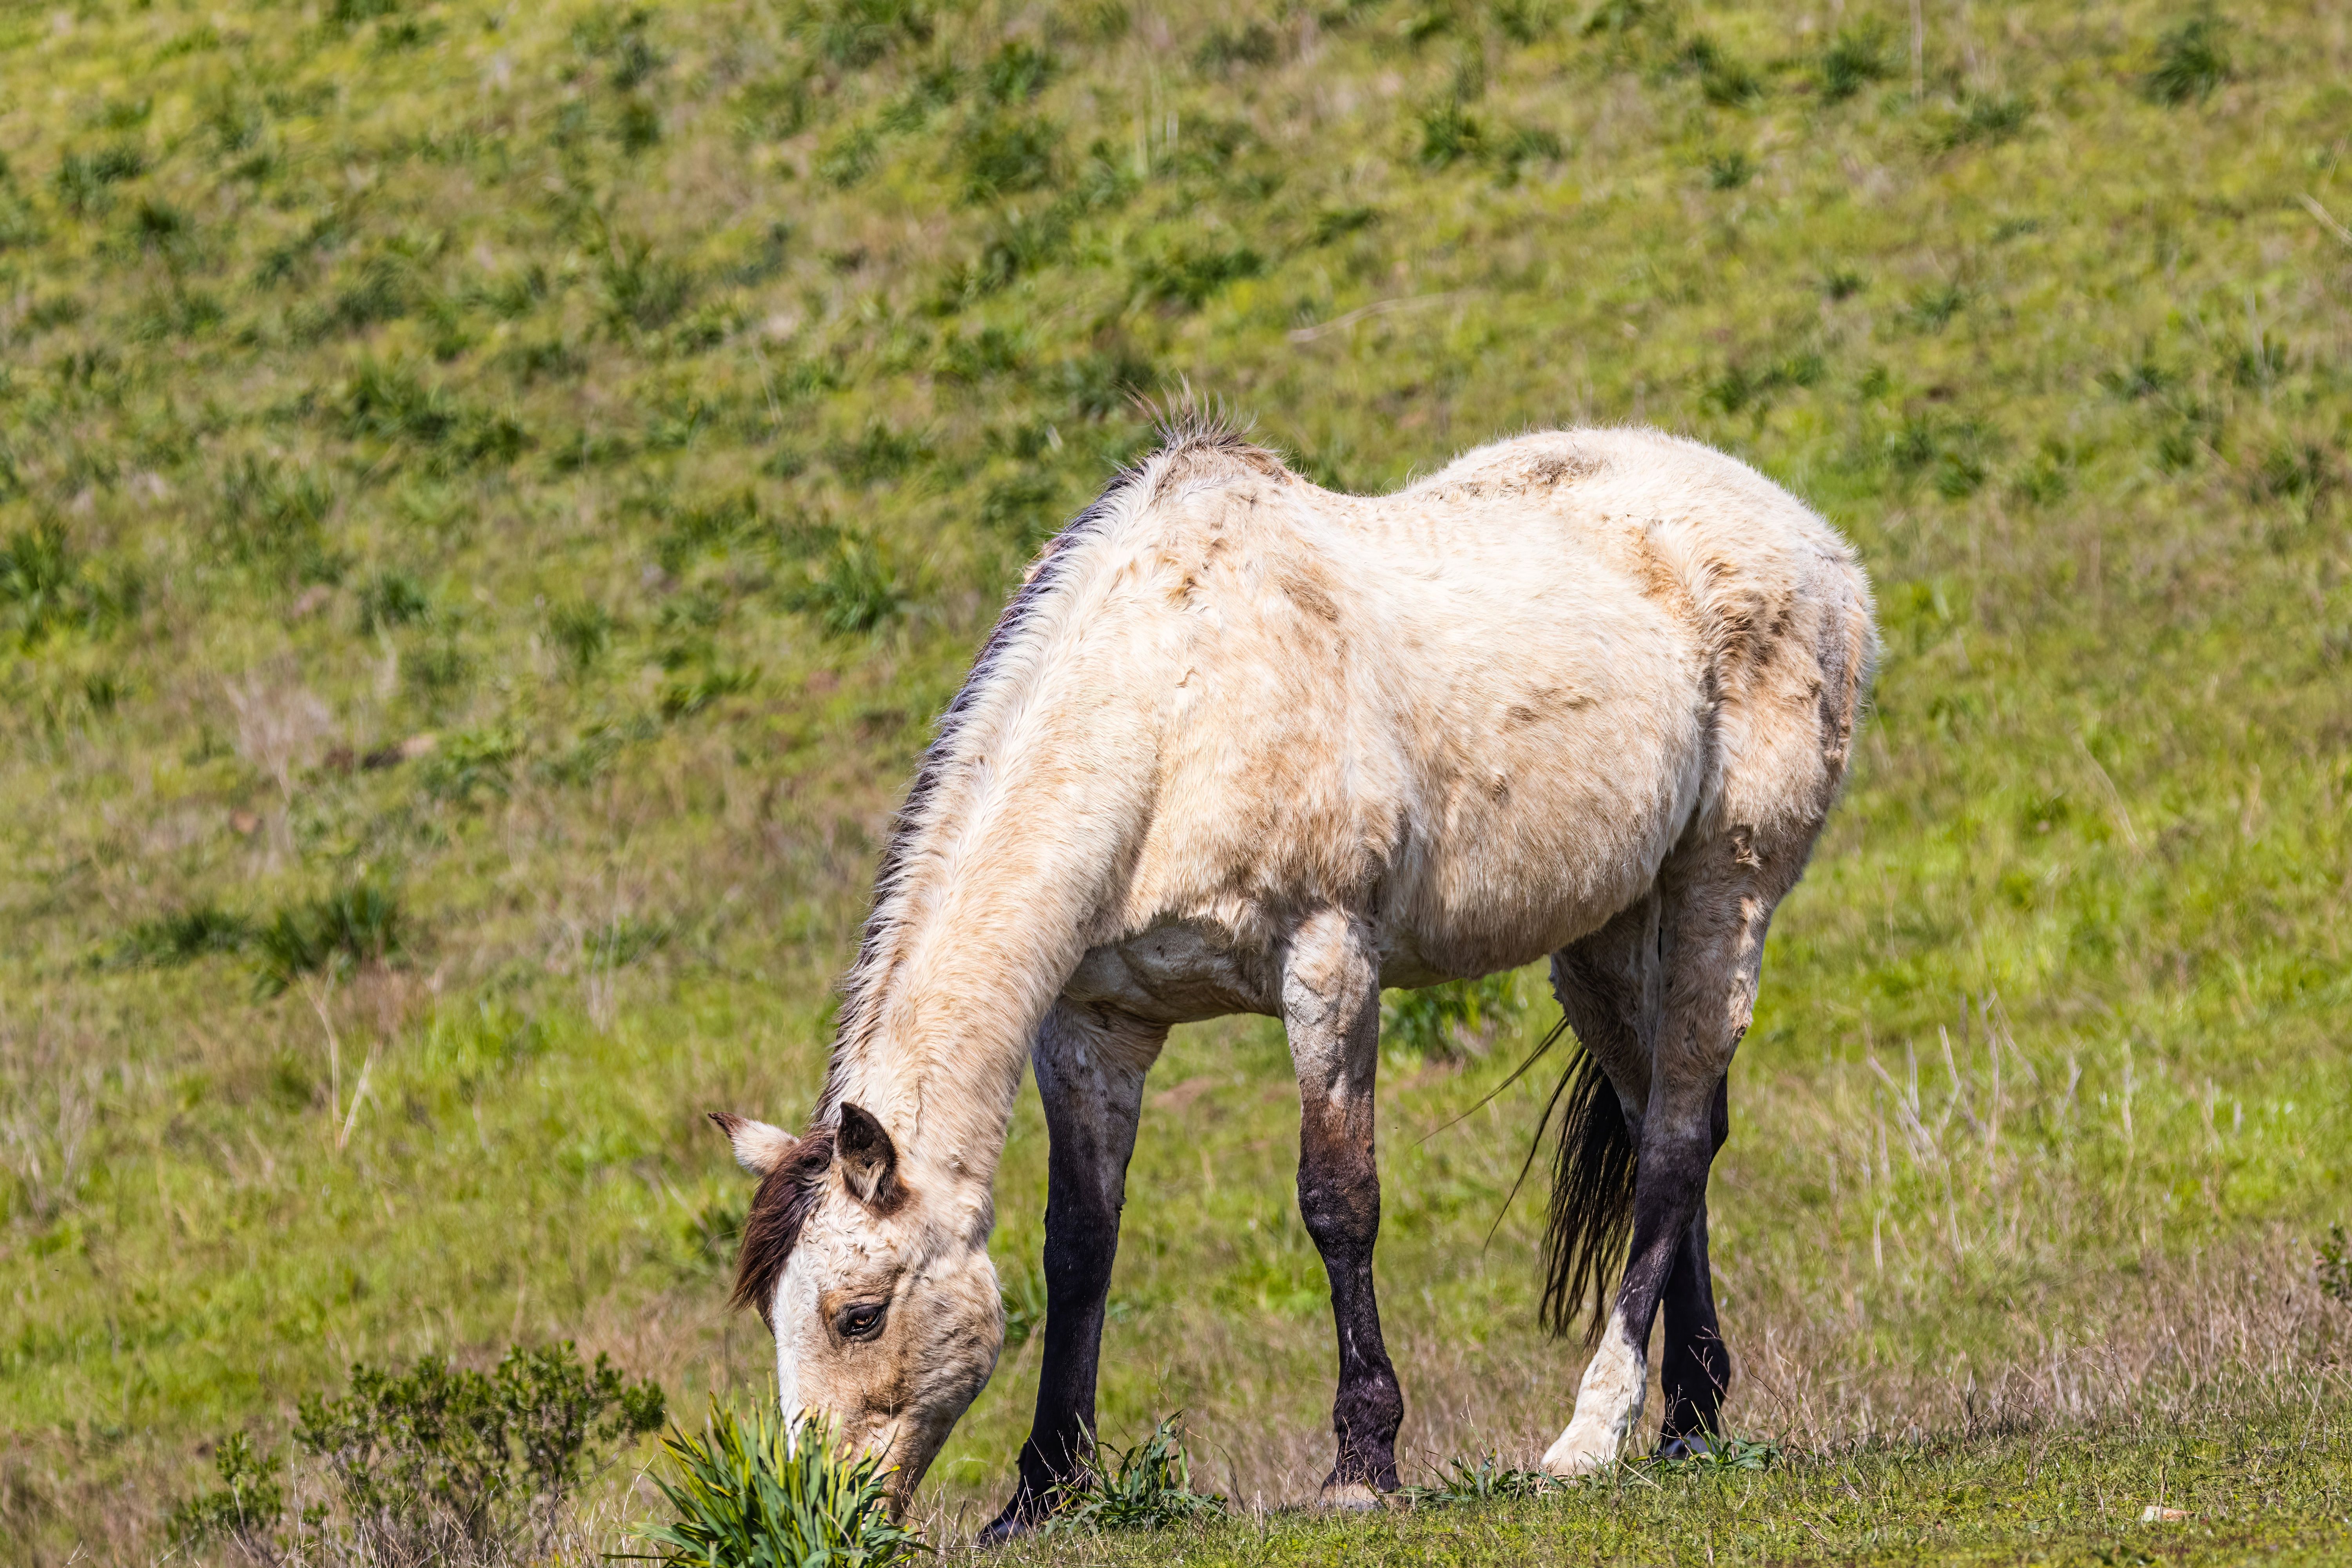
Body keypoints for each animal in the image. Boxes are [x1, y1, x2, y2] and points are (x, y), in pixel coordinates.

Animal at [708, 416, 1876, 1534]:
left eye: (859, 1315)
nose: (822, 1509)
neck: (1171, 703)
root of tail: (1817, 541)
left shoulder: (1328, 962)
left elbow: (1338, 1200)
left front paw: (1362, 1464)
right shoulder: (1094, 1023)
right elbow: (1079, 1243)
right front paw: (1040, 1493)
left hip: (1725, 886)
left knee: (1674, 1143)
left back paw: (1593, 1434)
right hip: (1604, 933)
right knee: (1667, 1127)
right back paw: (1690, 1418)